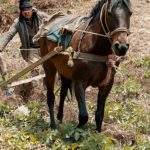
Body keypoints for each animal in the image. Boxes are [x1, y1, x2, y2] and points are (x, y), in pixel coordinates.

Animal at [38, 0, 132, 131]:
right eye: (109, 13)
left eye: (130, 13)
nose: (122, 47)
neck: (96, 49)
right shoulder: (79, 82)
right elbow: (83, 116)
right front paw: (76, 131)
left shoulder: (107, 85)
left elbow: (99, 115)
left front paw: (96, 133)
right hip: (49, 67)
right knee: (50, 96)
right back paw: (52, 125)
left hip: (64, 71)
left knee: (62, 93)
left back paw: (60, 118)